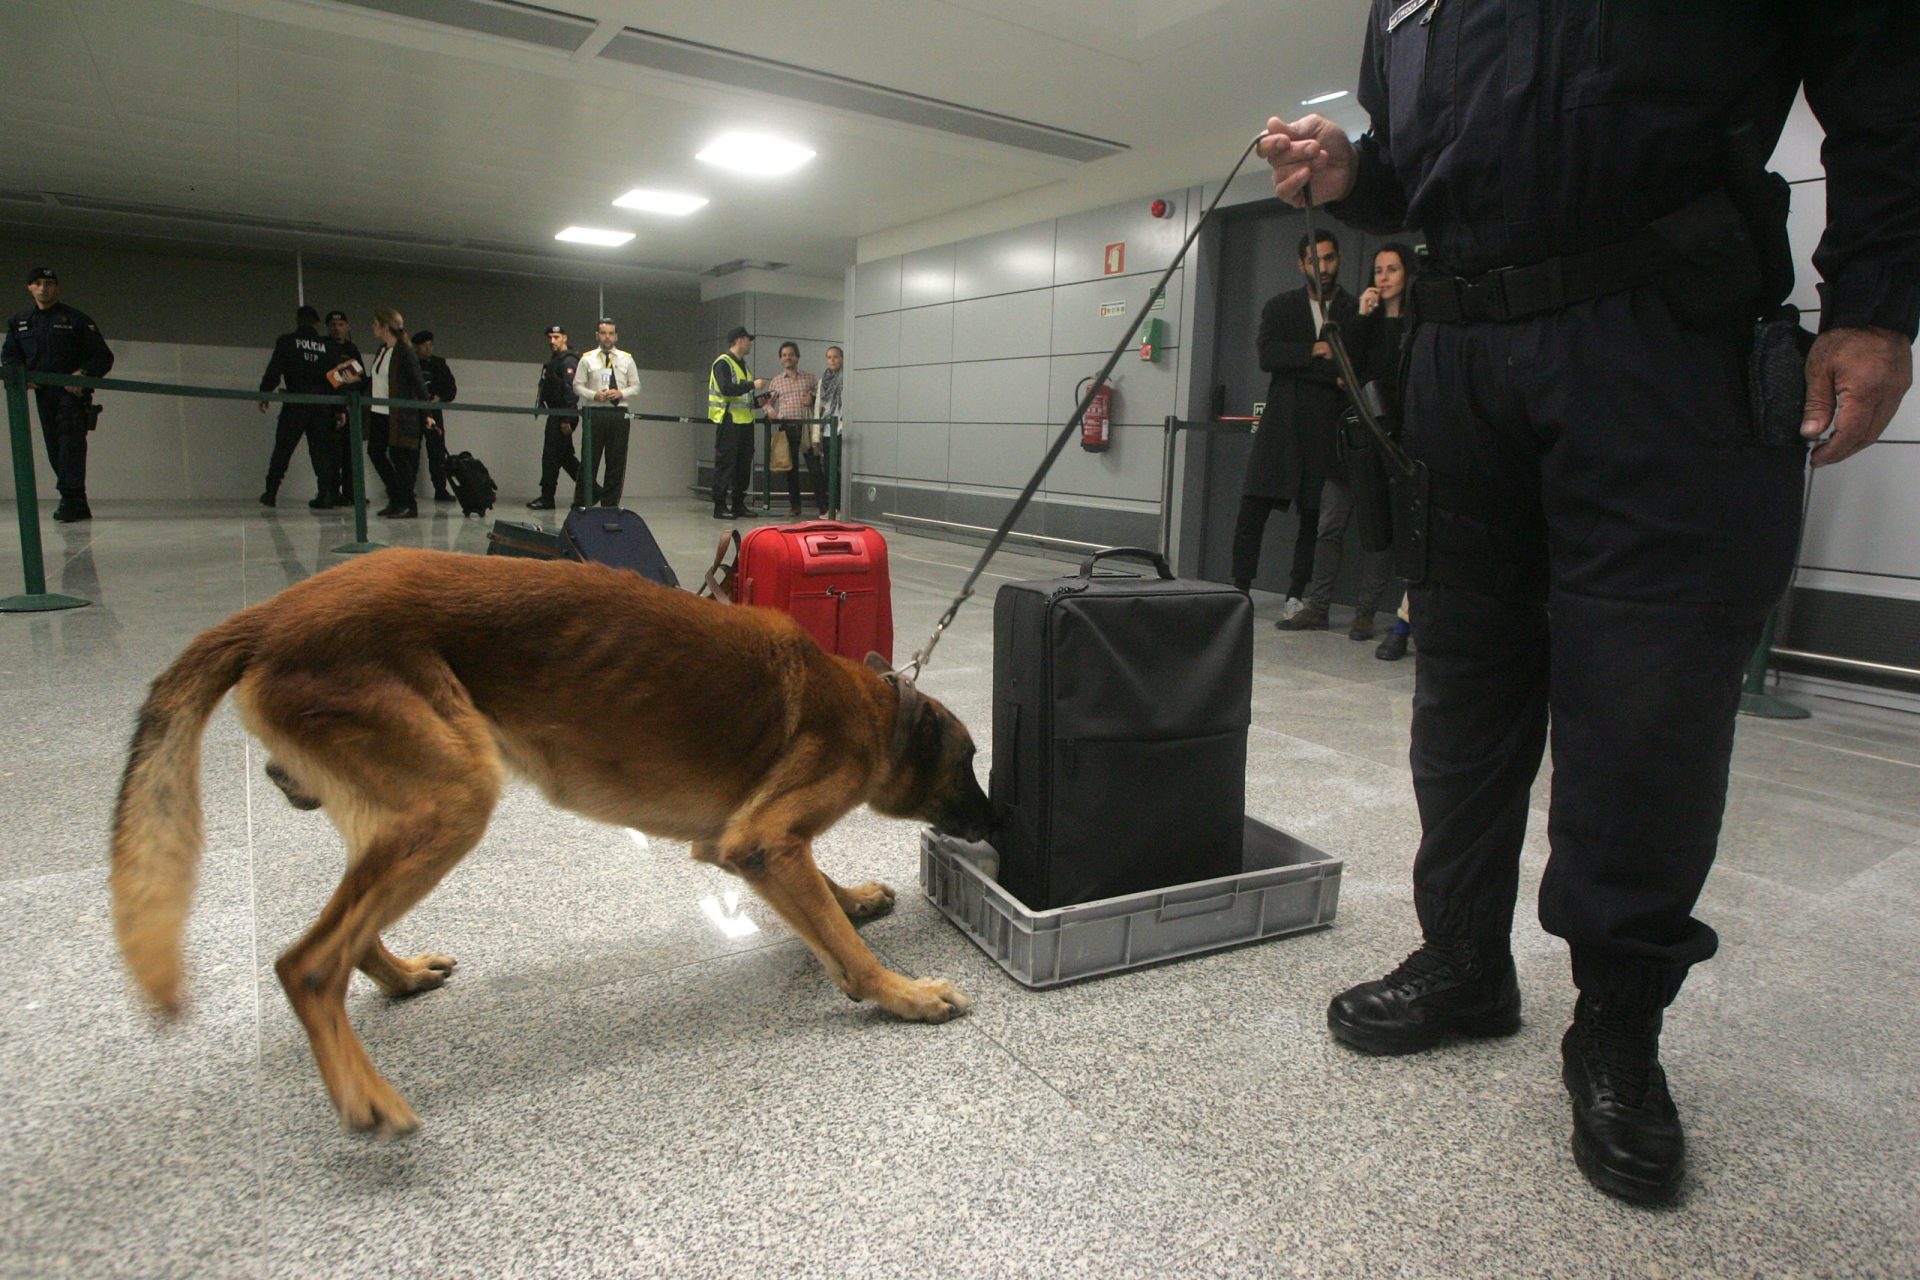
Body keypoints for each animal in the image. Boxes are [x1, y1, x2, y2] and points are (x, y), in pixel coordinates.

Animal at [108, 545, 990, 1136]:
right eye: (970, 764)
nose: (995, 820)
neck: (875, 709)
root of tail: (268, 617)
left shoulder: (760, 845)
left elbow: (826, 903)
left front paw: (856, 896)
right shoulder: (763, 840)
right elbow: (843, 946)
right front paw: (904, 994)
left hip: (406, 808)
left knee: (347, 932)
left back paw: (399, 977)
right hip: (455, 798)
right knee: (307, 962)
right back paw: (365, 1093)